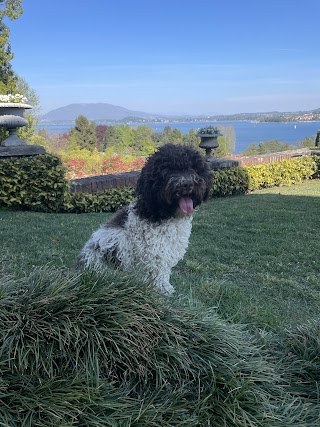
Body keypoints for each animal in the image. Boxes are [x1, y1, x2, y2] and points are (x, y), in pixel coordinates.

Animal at [78, 144, 211, 294]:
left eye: (193, 168)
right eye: (169, 170)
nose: (187, 184)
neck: (162, 213)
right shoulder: (154, 252)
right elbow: (157, 272)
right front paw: (162, 289)